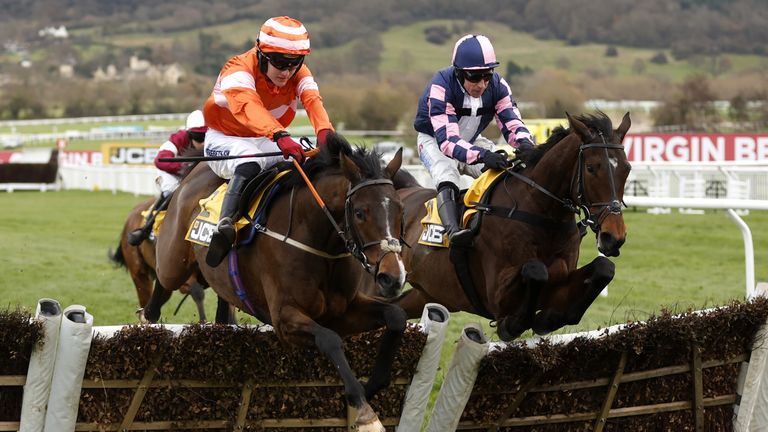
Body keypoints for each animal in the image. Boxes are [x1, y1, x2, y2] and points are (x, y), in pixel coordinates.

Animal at [146, 132, 404, 432]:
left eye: (399, 209)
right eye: (361, 212)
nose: (393, 277)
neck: (316, 238)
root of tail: (196, 169)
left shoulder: (343, 310)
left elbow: (396, 316)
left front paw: (371, 386)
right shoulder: (284, 318)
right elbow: (330, 340)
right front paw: (365, 414)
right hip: (174, 261)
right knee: (161, 282)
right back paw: (147, 319)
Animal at [384, 111, 632, 340]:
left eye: (627, 168)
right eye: (591, 168)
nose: (613, 237)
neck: (542, 214)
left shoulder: (560, 281)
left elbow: (604, 268)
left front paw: (549, 318)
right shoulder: (496, 296)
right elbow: (536, 271)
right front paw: (514, 325)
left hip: (429, 293)